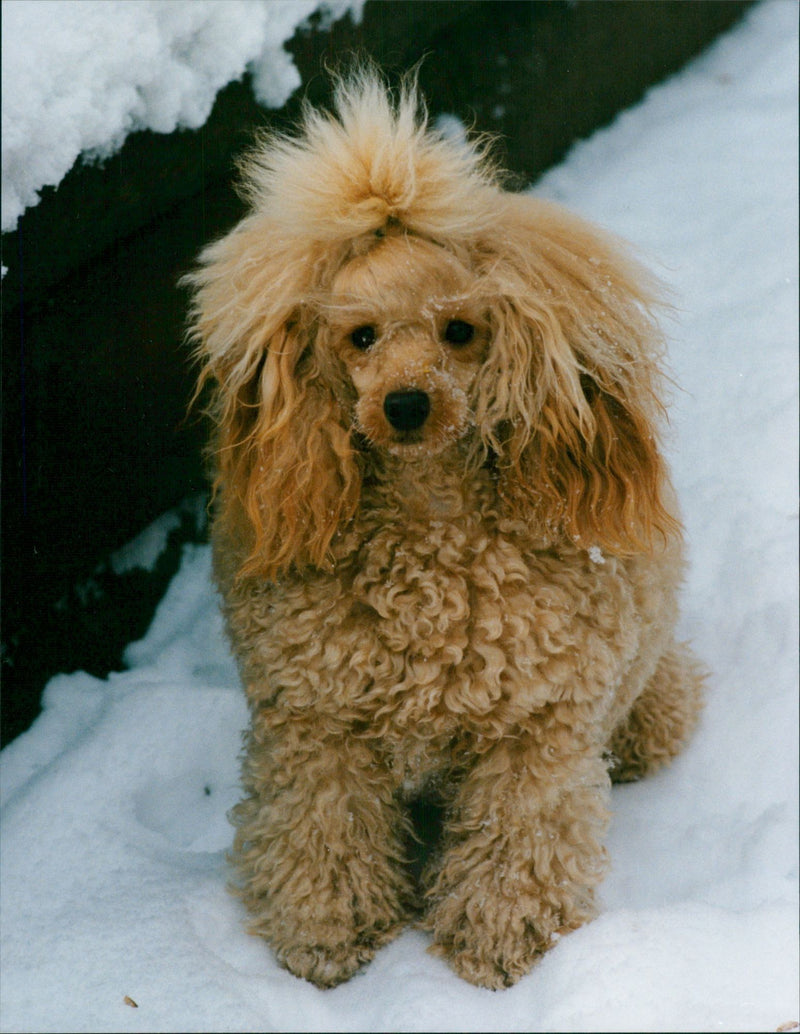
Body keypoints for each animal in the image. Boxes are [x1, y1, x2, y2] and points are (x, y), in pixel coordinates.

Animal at [185, 68, 706, 988]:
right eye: (359, 337)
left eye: (461, 330)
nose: (405, 404)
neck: (430, 528)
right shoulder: (317, 724)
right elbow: (323, 830)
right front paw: (325, 941)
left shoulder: (535, 731)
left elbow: (516, 841)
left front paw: (500, 944)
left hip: (644, 699)